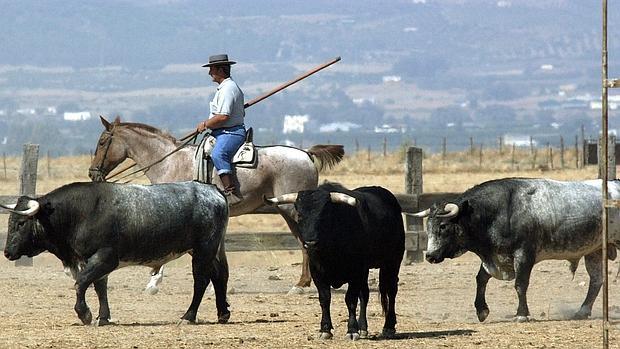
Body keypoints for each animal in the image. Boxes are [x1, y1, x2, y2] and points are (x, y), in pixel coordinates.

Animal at [2, 181, 230, 324]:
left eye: (21, 223)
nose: (7, 252)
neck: (80, 213)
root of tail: (212, 190)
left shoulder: (105, 258)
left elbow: (81, 283)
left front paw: (85, 314)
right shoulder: (92, 261)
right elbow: (99, 287)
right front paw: (103, 317)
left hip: (203, 249)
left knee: (201, 280)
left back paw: (188, 316)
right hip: (209, 250)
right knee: (219, 276)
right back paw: (223, 313)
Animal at [89, 117, 346, 294]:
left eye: (102, 142)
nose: (93, 173)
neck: (170, 162)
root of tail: (306, 154)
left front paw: (154, 283)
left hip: (291, 209)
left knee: (305, 242)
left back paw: (301, 285)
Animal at [414, 178, 620, 322]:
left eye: (443, 226)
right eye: (428, 226)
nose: (430, 256)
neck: (499, 211)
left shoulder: (524, 256)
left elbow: (520, 284)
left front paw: (522, 314)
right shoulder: (495, 257)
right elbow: (481, 279)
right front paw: (482, 310)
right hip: (594, 250)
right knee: (596, 280)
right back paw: (582, 311)